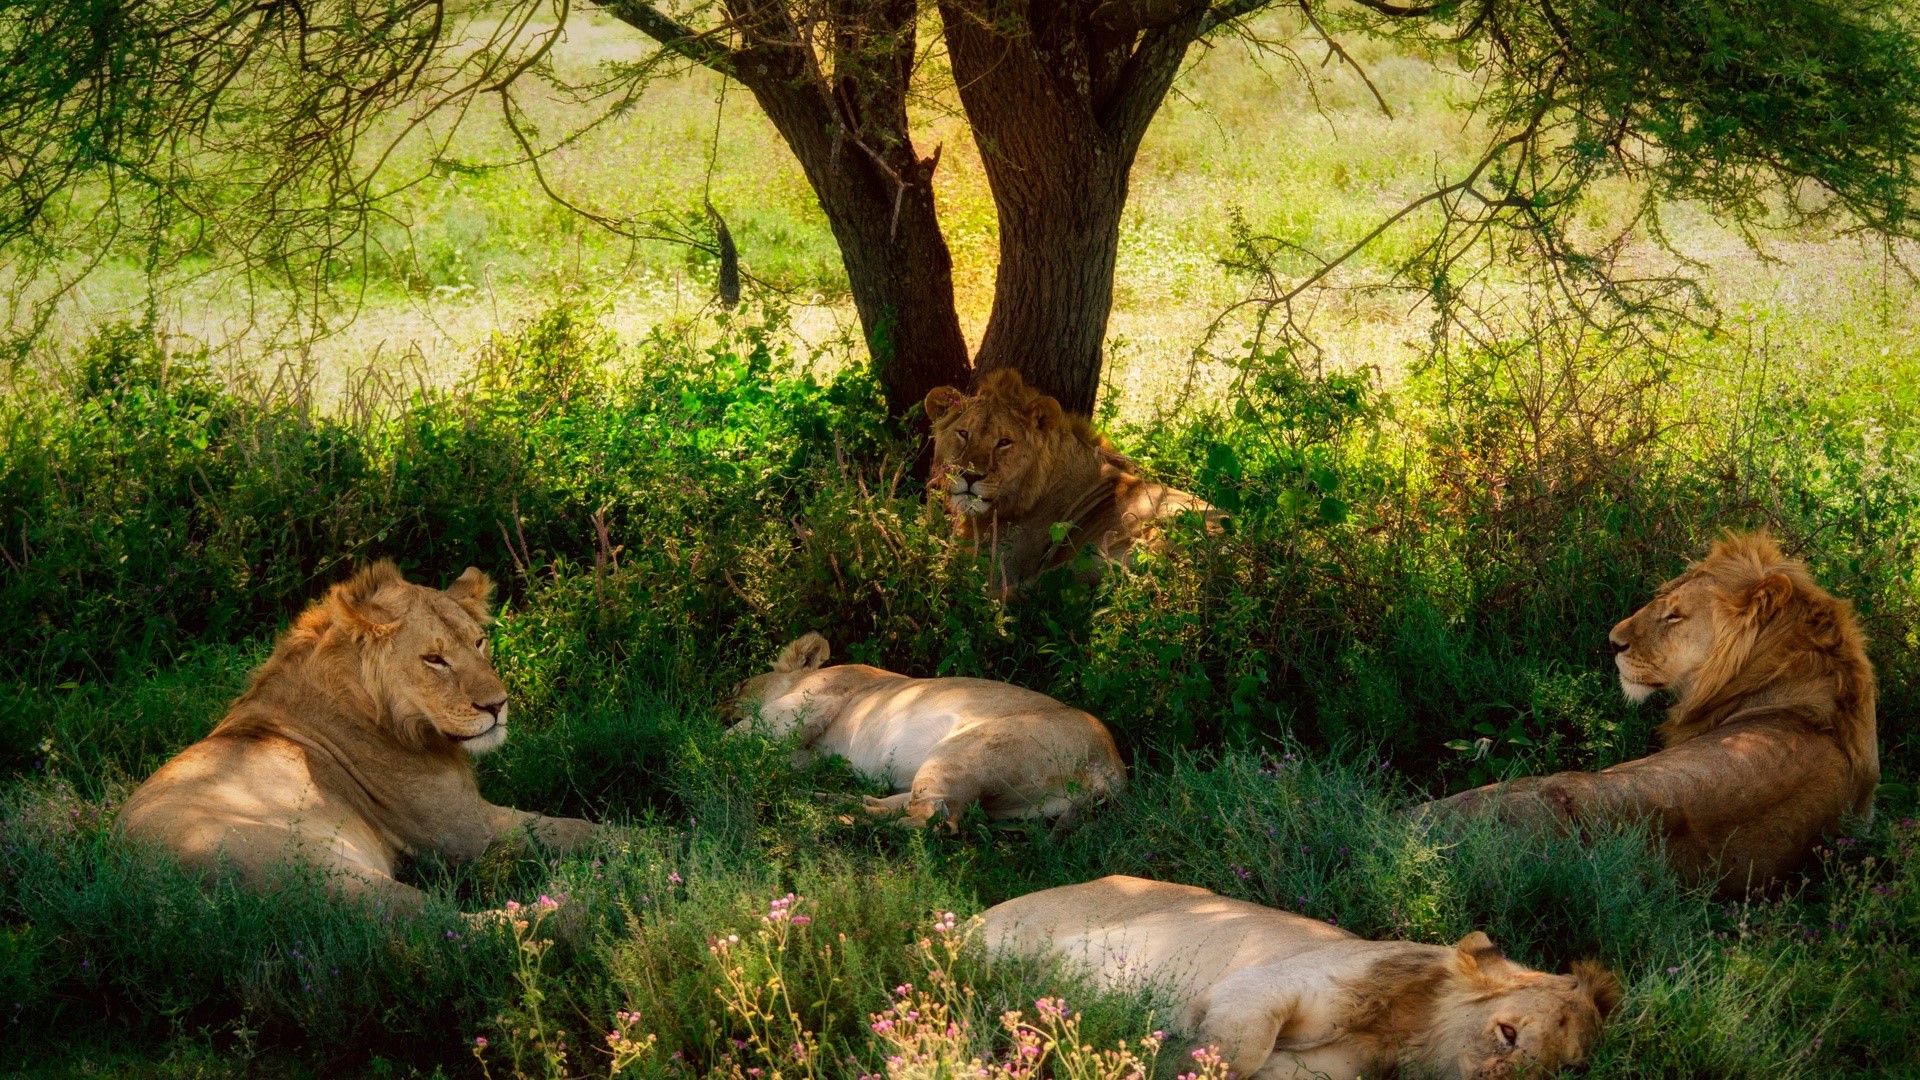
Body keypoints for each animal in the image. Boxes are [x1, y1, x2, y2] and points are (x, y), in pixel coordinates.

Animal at [119, 561, 597, 919]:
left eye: (479, 642)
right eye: (434, 659)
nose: (497, 705)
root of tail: (143, 884)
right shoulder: (467, 833)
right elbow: (576, 829)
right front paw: (620, 846)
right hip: (329, 874)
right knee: (452, 927)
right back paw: (574, 910)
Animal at [727, 632, 1125, 830]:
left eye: (741, 684)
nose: (718, 706)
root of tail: (1111, 764)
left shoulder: (816, 698)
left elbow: (744, 732)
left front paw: (713, 744)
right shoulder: (816, 751)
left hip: (962, 753)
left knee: (932, 819)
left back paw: (840, 820)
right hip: (1008, 803)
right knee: (916, 806)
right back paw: (820, 799)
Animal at [982, 876, 1619, 1080]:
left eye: (1561, 1074)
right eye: (1508, 1034)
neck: (1400, 1035)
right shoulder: (1264, 982)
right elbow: (1236, 1050)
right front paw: (1160, 1061)